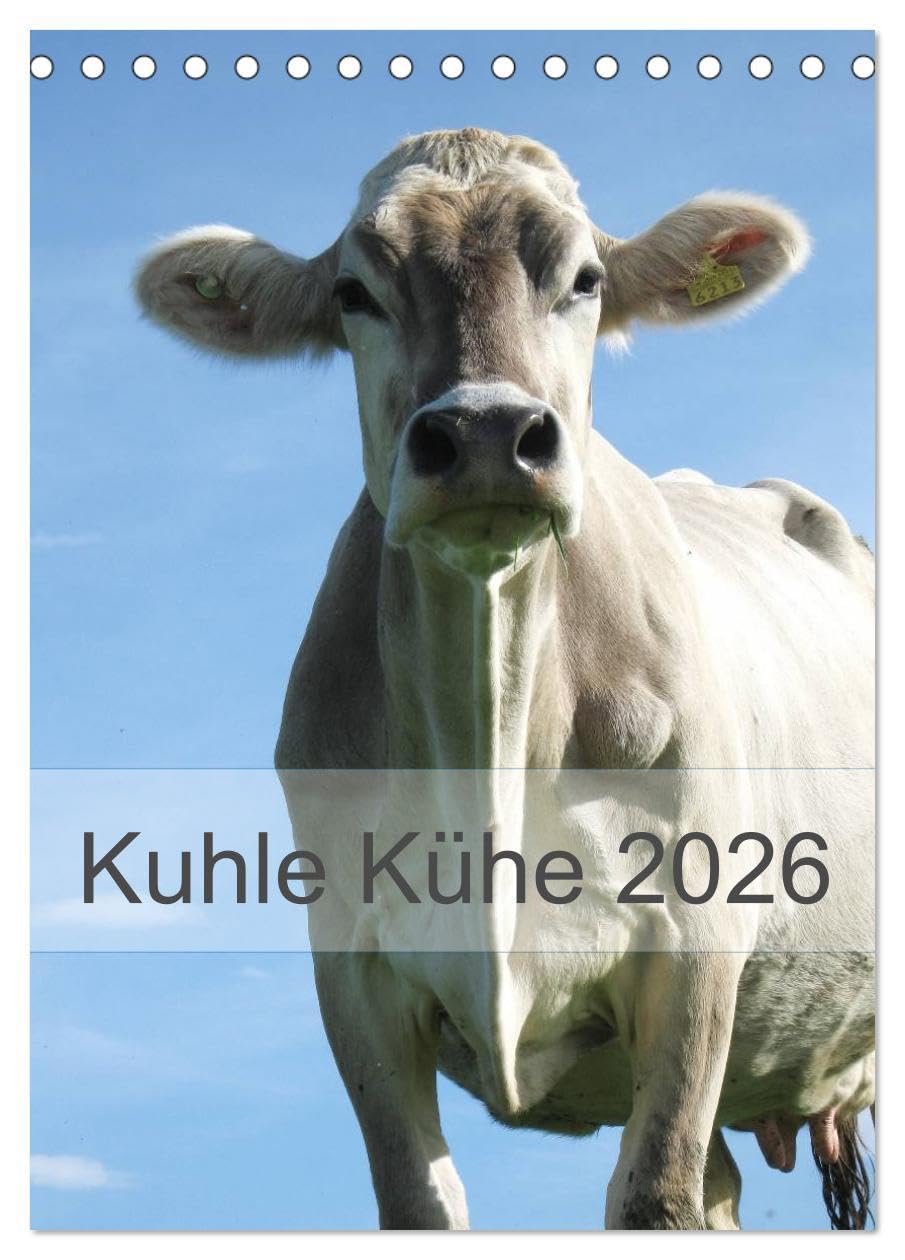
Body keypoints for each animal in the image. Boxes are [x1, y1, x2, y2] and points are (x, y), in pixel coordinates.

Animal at [136, 128, 875, 1231]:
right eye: (353, 291)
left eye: (586, 279)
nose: (487, 434)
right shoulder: (351, 968)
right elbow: (423, 1200)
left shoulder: (696, 946)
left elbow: (653, 1195)